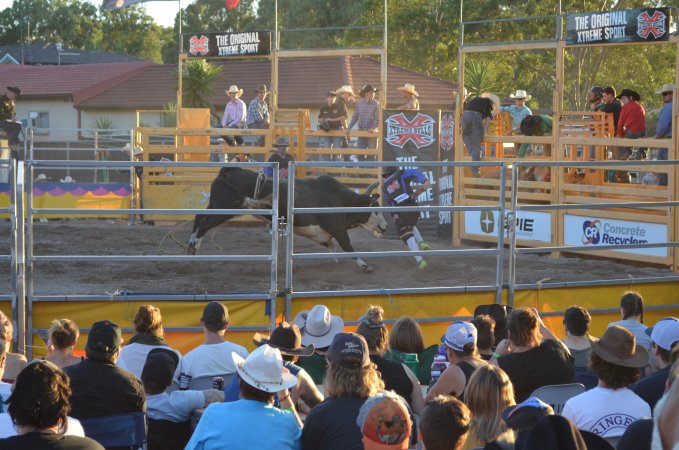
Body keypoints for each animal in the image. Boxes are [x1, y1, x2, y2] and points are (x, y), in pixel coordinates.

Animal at [187, 167, 388, 268]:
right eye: (375, 208)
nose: (385, 226)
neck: (340, 198)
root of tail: (227, 171)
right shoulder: (336, 228)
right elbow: (347, 245)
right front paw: (364, 264)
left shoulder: (320, 233)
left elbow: (331, 245)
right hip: (225, 209)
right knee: (204, 223)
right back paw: (194, 246)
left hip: (215, 204)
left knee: (198, 217)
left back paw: (191, 248)